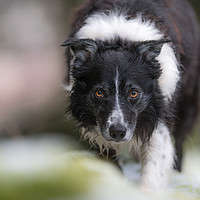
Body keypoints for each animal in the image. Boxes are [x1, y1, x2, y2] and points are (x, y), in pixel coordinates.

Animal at [61, 0, 199, 191]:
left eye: (134, 93)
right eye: (99, 93)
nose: (118, 132)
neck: (119, 38)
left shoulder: (158, 113)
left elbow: (154, 165)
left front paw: (147, 191)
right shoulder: (99, 128)